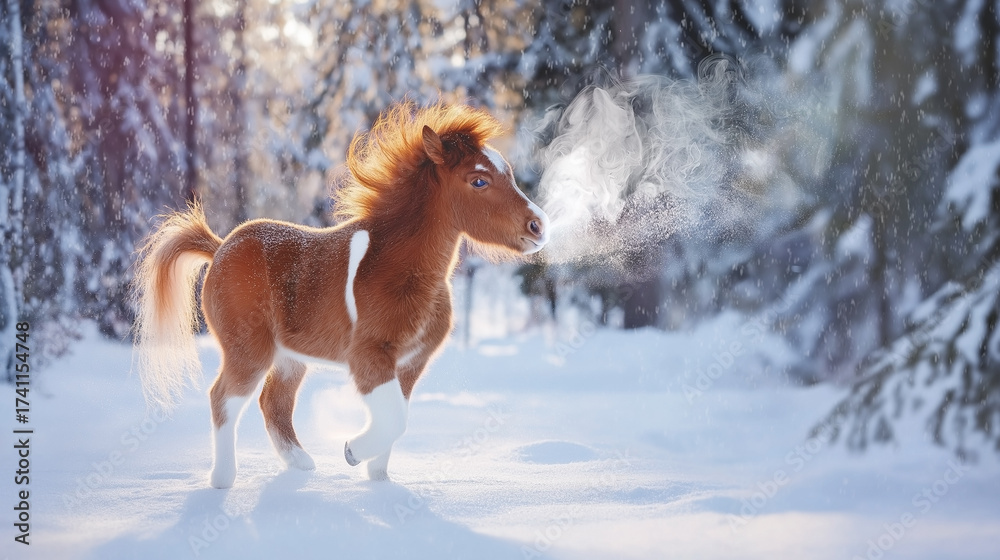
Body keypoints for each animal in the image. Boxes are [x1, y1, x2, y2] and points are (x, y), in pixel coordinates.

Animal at [132, 102, 549, 488]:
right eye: (478, 181)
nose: (539, 225)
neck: (403, 271)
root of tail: (219, 247)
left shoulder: (410, 364)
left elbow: (397, 418)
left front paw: (378, 479)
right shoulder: (368, 357)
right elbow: (394, 419)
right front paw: (351, 452)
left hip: (289, 358)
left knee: (274, 402)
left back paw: (302, 466)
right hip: (248, 349)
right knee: (223, 399)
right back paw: (222, 481)